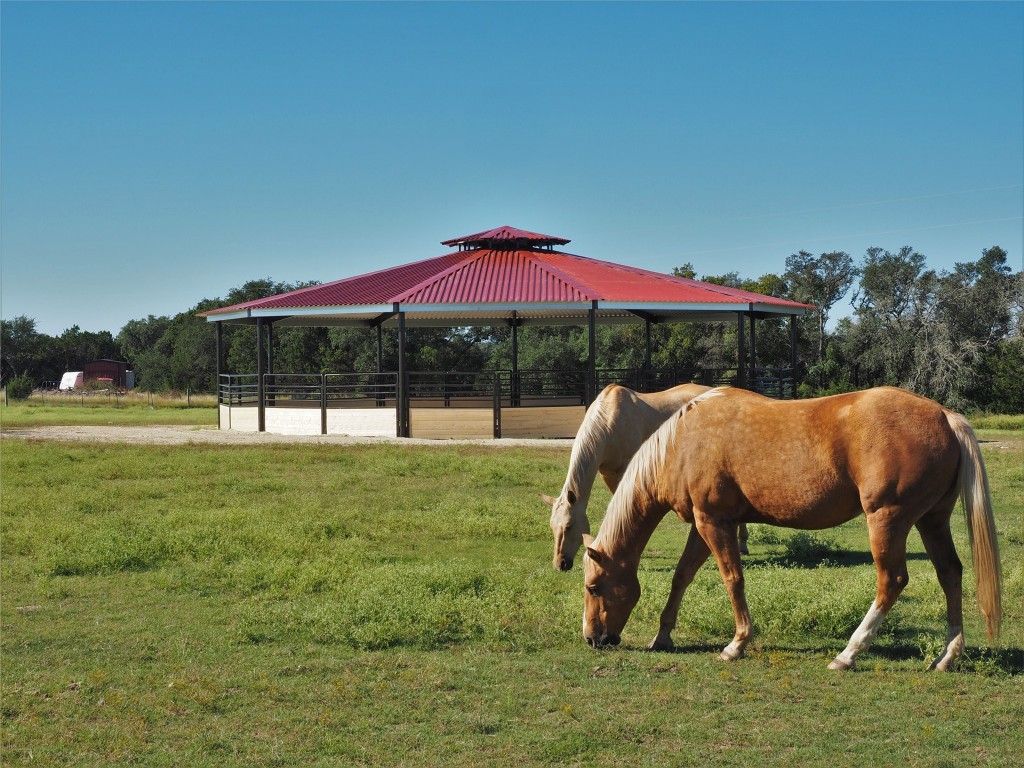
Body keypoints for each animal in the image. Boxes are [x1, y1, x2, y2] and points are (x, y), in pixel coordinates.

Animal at [540, 382, 757, 573]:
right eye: (552, 526)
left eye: (569, 526)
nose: (560, 564)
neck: (608, 420)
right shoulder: (607, 473)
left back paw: (742, 544)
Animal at [585, 387, 999, 671]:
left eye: (593, 587)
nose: (592, 639)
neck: (682, 442)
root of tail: (944, 415)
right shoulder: (705, 524)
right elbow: (682, 575)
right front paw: (663, 635)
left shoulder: (714, 523)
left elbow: (732, 579)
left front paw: (736, 644)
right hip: (932, 521)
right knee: (950, 573)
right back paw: (947, 656)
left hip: (887, 520)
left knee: (891, 581)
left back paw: (849, 653)